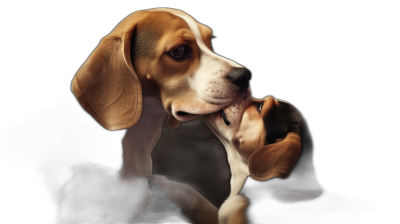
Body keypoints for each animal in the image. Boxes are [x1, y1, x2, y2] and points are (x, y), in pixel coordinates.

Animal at [57, 7, 250, 224]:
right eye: (178, 51)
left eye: (210, 42)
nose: (245, 76)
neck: (136, 143)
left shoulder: (138, 216)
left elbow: (179, 219)